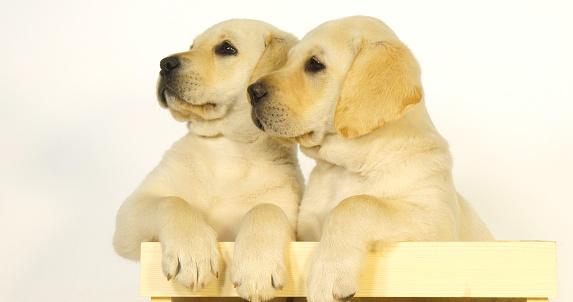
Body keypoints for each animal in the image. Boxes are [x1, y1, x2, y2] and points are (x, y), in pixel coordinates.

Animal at [109, 19, 302, 302]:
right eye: (192, 46)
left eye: (226, 48)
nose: (165, 63)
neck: (226, 147)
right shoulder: (130, 216)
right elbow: (173, 201)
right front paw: (192, 252)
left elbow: (266, 208)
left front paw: (257, 267)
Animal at [248, 15, 494, 302]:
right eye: (286, 61)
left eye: (315, 64)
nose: (251, 91)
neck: (347, 168)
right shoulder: (305, 234)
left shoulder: (439, 230)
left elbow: (358, 203)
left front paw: (327, 276)